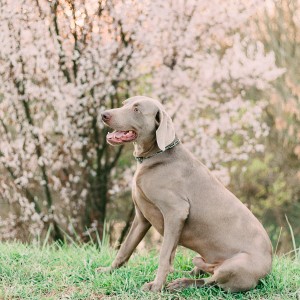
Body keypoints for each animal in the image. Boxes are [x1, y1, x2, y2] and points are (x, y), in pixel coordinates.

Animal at [97, 96, 274, 292]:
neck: (154, 156)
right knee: (201, 271)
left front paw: (156, 286)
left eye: (137, 110)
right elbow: (125, 248)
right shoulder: (141, 217)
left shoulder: (176, 212)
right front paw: (108, 270)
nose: (104, 114)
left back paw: (181, 283)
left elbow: (164, 255)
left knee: (210, 281)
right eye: (124, 104)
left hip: (236, 265)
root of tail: (269, 264)